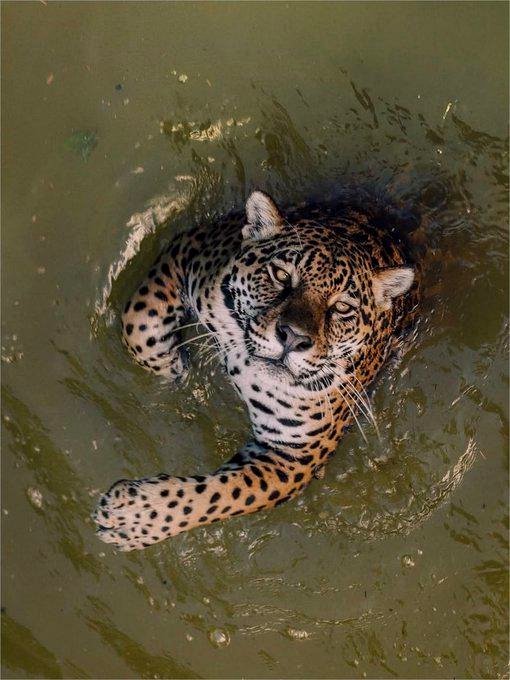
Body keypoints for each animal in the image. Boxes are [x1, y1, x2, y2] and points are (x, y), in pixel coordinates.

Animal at [93, 190, 419, 551]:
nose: (293, 337)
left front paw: (132, 517)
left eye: (342, 308)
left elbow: (218, 496)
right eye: (281, 276)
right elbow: (139, 318)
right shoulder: (190, 247)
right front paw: (171, 366)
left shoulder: (292, 459)